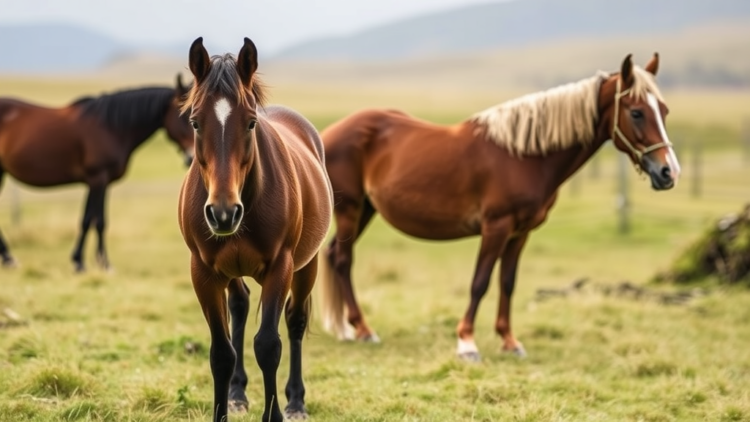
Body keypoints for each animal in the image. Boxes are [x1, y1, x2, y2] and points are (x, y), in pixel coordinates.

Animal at [0, 75, 194, 272]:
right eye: (184, 116)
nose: (191, 158)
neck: (111, 127)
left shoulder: (100, 182)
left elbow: (94, 220)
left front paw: (85, 260)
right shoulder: (97, 179)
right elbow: (94, 221)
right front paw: (96, 264)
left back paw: (8, 258)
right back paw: (9, 259)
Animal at [178, 37, 332, 422]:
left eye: (249, 123)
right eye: (195, 122)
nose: (222, 214)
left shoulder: (281, 267)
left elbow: (268, 345)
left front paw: (276, 412)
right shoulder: (203, 272)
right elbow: (221, 352)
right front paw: (225, 406)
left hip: (307, 265)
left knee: (294, 322)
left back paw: (295, 401)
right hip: (230, 271)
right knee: (241, 306)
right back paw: (237, 393)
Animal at [319, 53, 682, 361]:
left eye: (663, 111)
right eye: (636, 112)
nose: (669, 172)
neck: (524, 156)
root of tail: (325, 135)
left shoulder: (520, 233)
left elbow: (507, 282)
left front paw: (509, 341)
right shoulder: (496, 227)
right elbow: (480, 282)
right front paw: (467, 343)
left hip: (366, 210)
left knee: (334, 254)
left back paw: (347, 328)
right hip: (351, 210)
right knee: (343, 259)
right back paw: (363, 329)